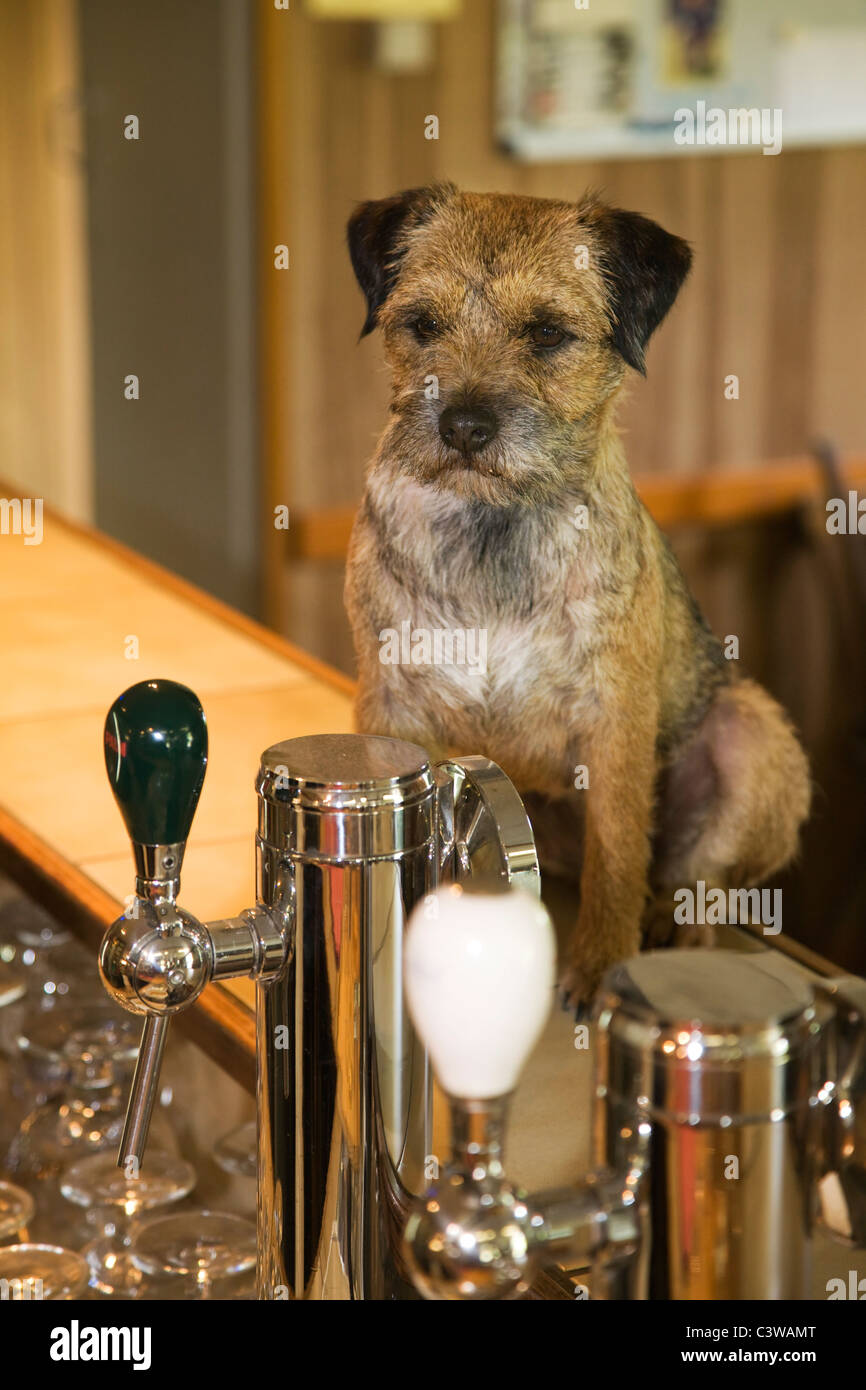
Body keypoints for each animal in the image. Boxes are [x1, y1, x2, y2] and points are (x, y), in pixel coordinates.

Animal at [340, 187, 811, 1011]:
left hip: (754, 734)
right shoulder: (390, 704)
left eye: (548, 333)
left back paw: (675, 920)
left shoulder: (614, 719)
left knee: (693, 872)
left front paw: (600, 963)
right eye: (422, 324)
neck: (492, 524)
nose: (463, 426)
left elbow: (618, 853)